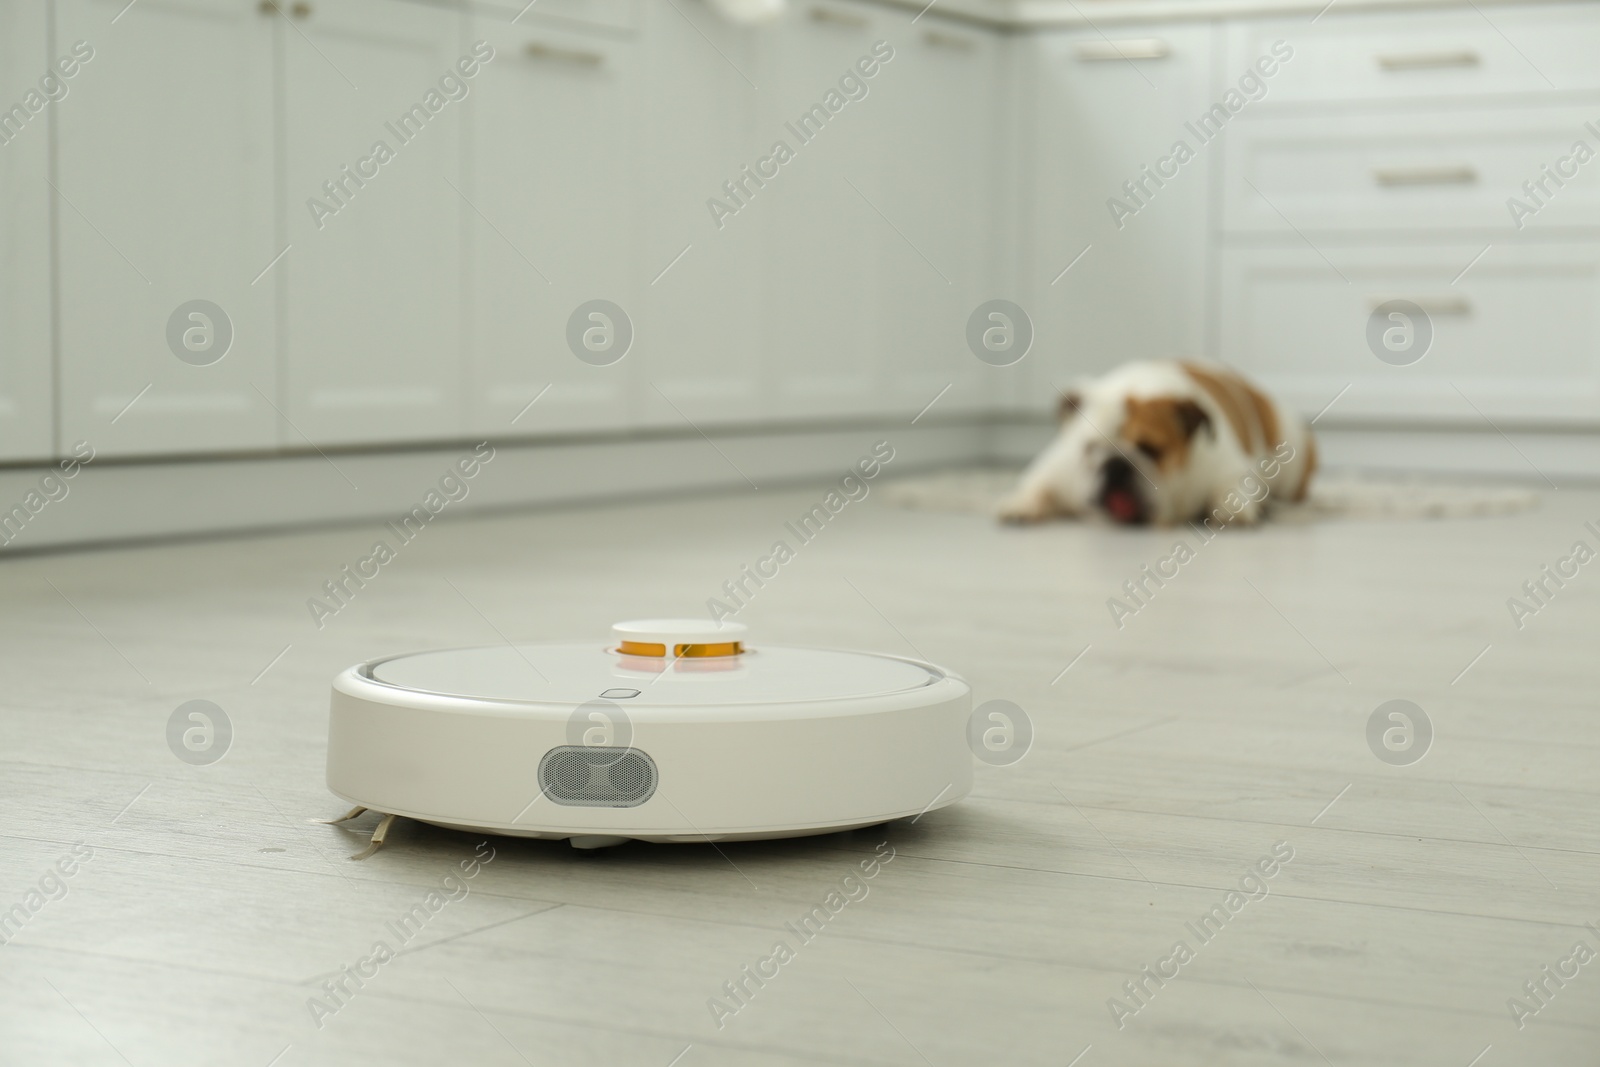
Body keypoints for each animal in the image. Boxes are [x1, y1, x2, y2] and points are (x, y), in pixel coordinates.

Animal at [992, 361, 1318, 527]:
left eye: (1151, 450)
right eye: (1090, 448)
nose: (1116, 465)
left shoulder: (1229, 468)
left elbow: (1231, 489)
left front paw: (1234, 510)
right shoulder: (1058, 469)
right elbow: (1037, 485)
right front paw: (1019, 503)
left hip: (1291, 461)